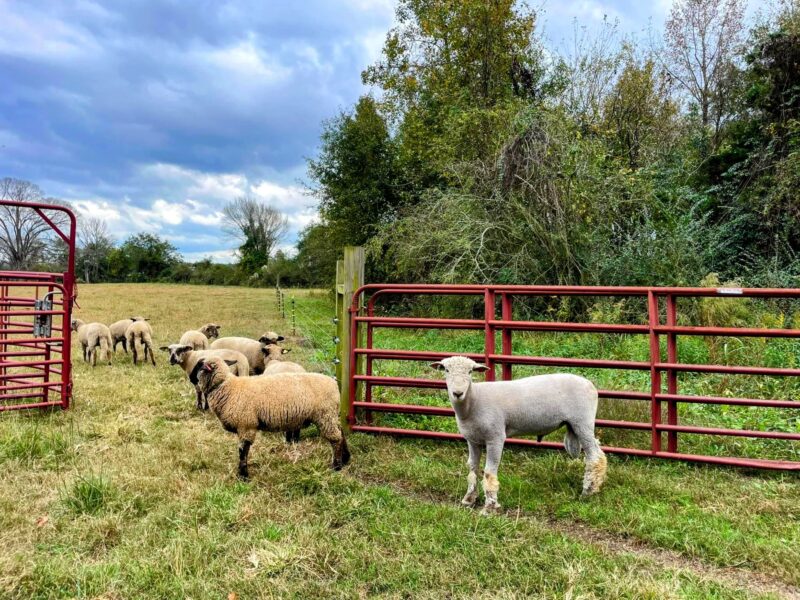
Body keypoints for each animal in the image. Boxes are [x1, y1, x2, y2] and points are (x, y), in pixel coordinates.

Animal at [192, 356, 350, 479]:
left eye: (199, 365)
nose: (191, 378)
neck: (228, 387)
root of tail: (334, 384)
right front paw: (242, 474)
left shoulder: (246, 425)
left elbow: (243, 451)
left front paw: (243, 476)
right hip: (331, 415)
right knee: (341, 433)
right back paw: (346, 459)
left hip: (325, 416)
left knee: (336, 439)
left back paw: (336, 466)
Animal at [430, 356, 607, 514]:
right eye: (446, 370)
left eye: (470, 371)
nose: (457, 393)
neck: (473, 402)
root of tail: (590, 385)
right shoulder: (472, 440)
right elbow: (472, 469)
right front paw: (468, 499)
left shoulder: (495, 437)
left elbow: (489, 472)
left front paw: (490, 507)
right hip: (577, 425)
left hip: (582, 421)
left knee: (595, 457)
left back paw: (588, 492)